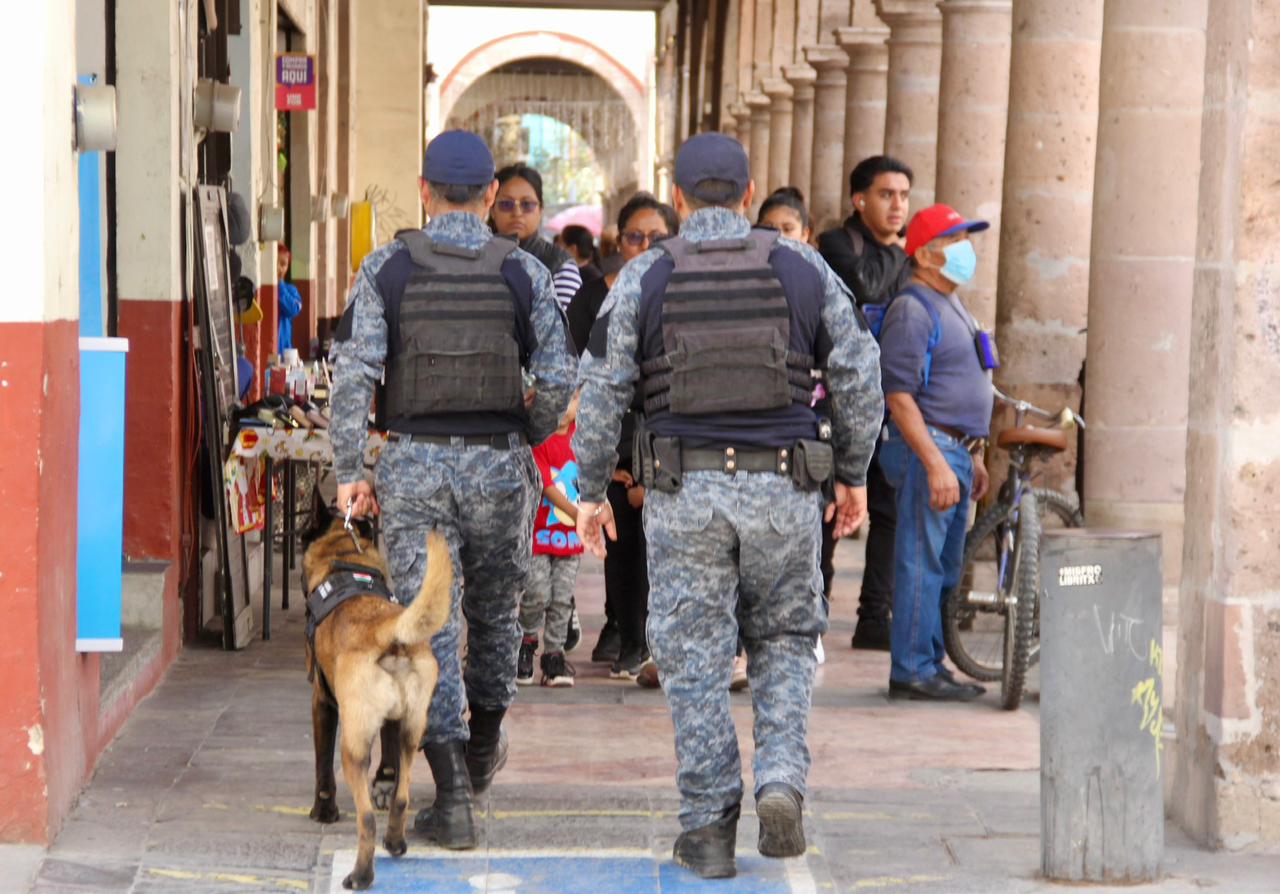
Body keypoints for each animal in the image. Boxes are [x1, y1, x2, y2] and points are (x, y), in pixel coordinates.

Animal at [303, 516, 452, 890]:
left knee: (367, 818)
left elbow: (321, 767)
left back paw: (361, 874)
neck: (344, 558)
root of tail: (390, 632)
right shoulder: (392, 723)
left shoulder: (322, 703)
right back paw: (396, 842)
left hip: (353, 747)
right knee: (402, 796)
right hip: (412, 731)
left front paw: (323, 811)